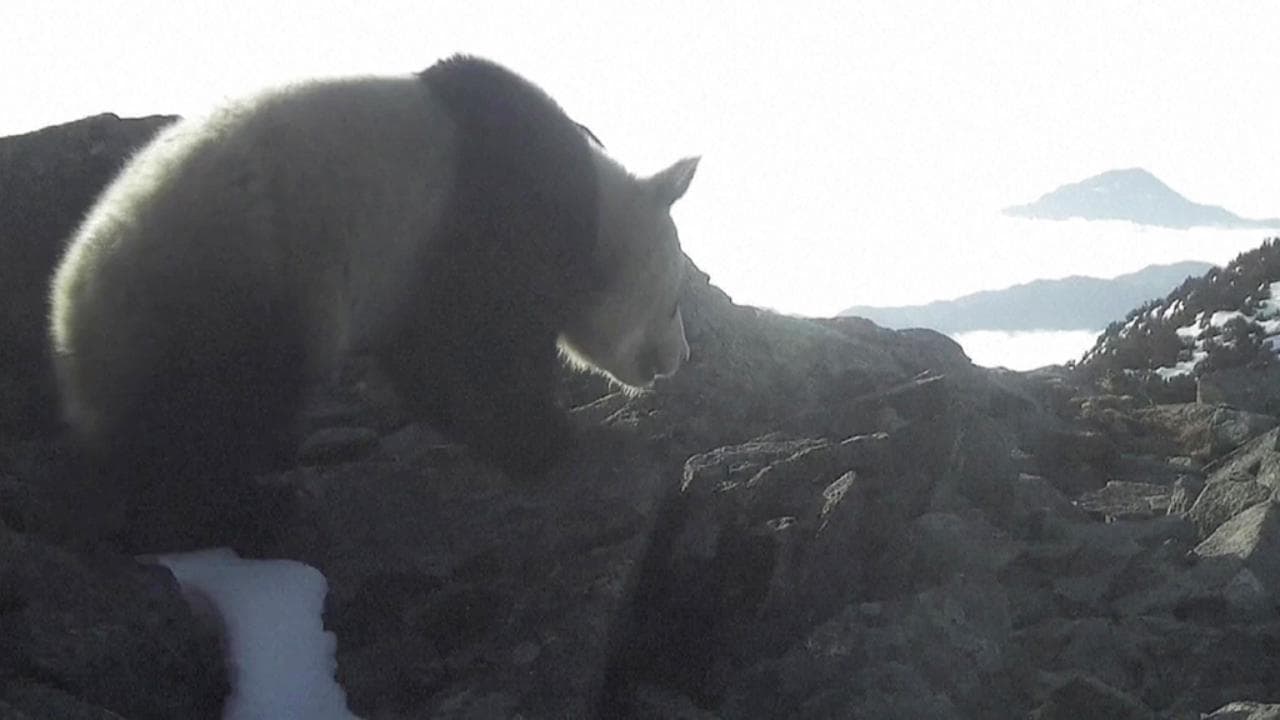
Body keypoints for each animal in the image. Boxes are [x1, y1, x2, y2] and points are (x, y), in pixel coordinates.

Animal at [48, 55, 697, 523]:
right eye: (672, 305)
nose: (679, 359)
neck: (601, 205)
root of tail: (74, 321)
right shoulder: (494, 205)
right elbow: (469, 352)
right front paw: (558, 439)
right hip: (235, 277)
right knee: (220, 409)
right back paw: (243, 506)